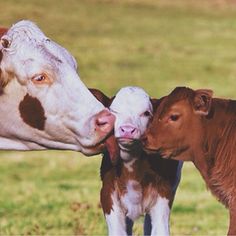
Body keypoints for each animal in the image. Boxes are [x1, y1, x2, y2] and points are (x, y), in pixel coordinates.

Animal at [97, 87, 183, 236]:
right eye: (113, 112)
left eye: (146, 113)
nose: (127, 129)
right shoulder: (108, 194)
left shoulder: (163, 194)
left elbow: (160, 230)